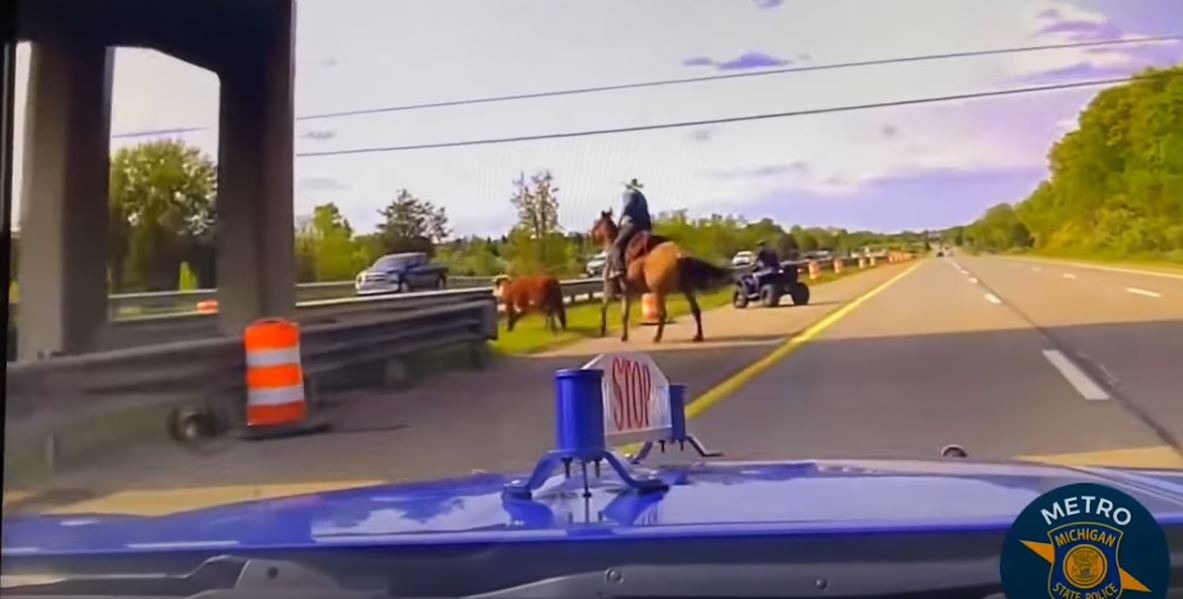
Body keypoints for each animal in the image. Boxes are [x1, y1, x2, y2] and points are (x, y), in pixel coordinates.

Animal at [589, 209, 728, 340]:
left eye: (597, 223)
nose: (591, 235)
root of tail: (678, 253)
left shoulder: (612, 290)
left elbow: (608, 309)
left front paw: (606, 331)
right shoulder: (627, 293)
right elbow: (624, 314)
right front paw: (623, 335)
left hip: (658, 292)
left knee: (663, 313)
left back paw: (657, 337)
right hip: (687, 290)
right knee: (695, 310)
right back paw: (698, 335)